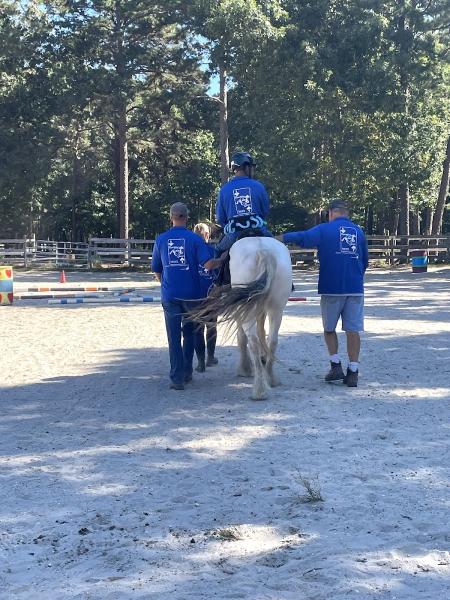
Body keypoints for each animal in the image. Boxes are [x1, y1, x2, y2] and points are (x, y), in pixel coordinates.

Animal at [192, 237, 292, 400]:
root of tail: (263, 251)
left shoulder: (240, 310)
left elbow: (241, 338)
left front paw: (245, 368)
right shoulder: (260, 308)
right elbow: (261, 331)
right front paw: (262, 359)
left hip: (249, 311)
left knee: (252, 341)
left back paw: (259, 390)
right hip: (277, 309)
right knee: (272, 340)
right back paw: (271, 378)